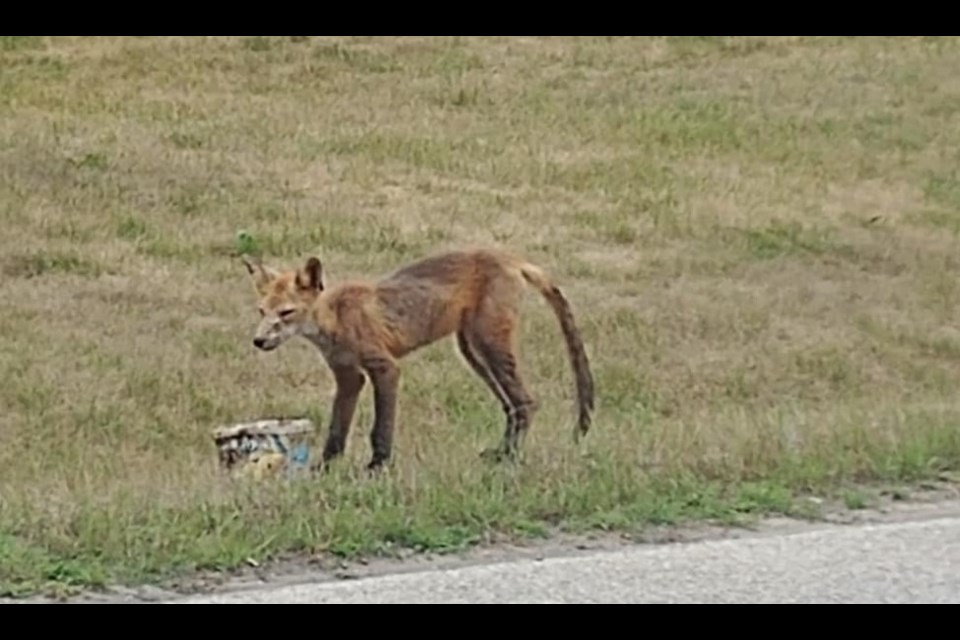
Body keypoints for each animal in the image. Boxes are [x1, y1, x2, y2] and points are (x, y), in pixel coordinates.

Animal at [242, 248, 592, 472]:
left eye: (286, 313)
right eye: (261, 311)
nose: (258, 341)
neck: (336, 319)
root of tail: (510, 257)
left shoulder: (385, 368)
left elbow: (380, 428)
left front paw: (378, 467)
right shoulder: (348, 377)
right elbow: (336, 430)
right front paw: (325, 468)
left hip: (489, 345)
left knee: (526, 402)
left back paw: (509, 458)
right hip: (473, 352)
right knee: (512, 406)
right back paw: (501, 453)